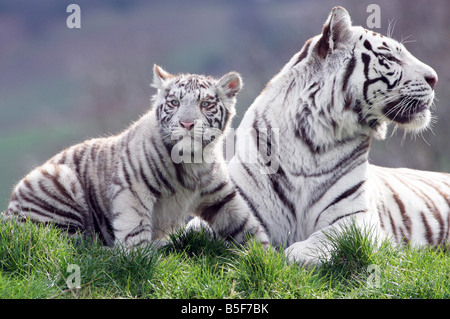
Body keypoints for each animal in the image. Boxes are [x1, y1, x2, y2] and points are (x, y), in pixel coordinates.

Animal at [193, 6, 446, 266]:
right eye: (391, 58)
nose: (434, 78)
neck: (311, 142)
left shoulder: (357, 220)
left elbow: (312, 246)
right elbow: (194, 230)